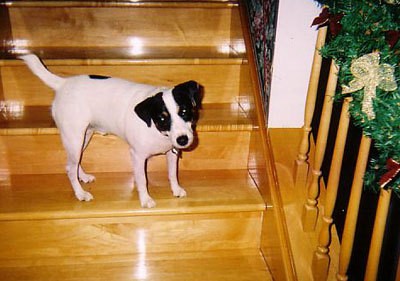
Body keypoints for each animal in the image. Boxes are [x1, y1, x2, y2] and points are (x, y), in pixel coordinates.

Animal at [20, 54, 202, 208]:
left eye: (184, 112)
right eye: (163, 119)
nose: (183, 140)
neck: (156, 130)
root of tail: (63, 83)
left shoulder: (172, 152)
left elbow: (172, 174)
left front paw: (176, 189)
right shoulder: (137, 156)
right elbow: (142, 180)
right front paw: (145, 199)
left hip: (84, 136)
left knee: (75, 162)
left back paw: (83, 177)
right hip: (74, 137)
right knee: (70, 168)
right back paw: (80, 194)